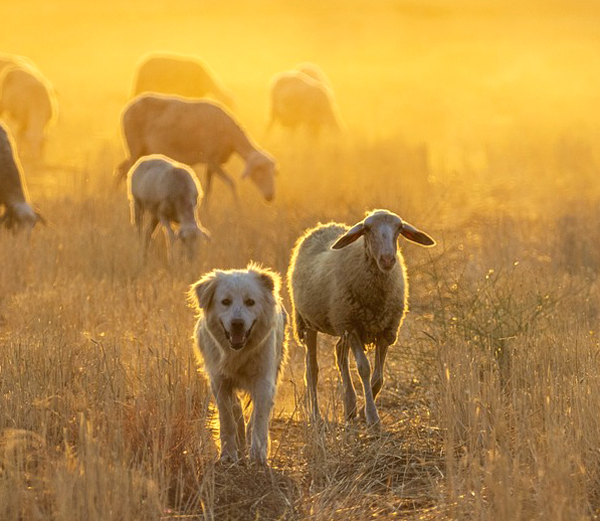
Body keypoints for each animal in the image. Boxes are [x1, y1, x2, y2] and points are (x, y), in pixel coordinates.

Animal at [116, 92, 278, 206]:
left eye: (272, 172)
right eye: (257, 172)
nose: (270, 197)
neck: (230, 137)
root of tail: (125, 110)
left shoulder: (211, 163)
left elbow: (208, 189)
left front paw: (206, 211)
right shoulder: (212, 159)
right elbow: (231, 183)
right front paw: (239, 210)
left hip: (142, 150)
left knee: (121, 168)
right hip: (134, 145)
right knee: (125, 171)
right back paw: (117, 200)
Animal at [190, 264, 288, 464]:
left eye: (250, 302)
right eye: (225, 301)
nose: (237, 323)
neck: (237, 352)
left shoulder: (264, 380)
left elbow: (259, 418)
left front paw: (258, 455)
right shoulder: (219, 381)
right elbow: (227, 418)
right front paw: (228, 454)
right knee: (236, 408)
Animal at [288, 209, 434, 424]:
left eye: (399, 228)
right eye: (367, 229)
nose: (388, 260)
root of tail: (324, 226)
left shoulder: (386, 330)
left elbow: (378, 378)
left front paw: (364, 410)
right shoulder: (353, 327)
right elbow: (364, 368)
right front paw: (372, 417)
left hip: (341, 323)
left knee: (339, 352)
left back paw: (350, 407)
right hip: (309, 322)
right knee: (312, 370)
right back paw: (315, 415)